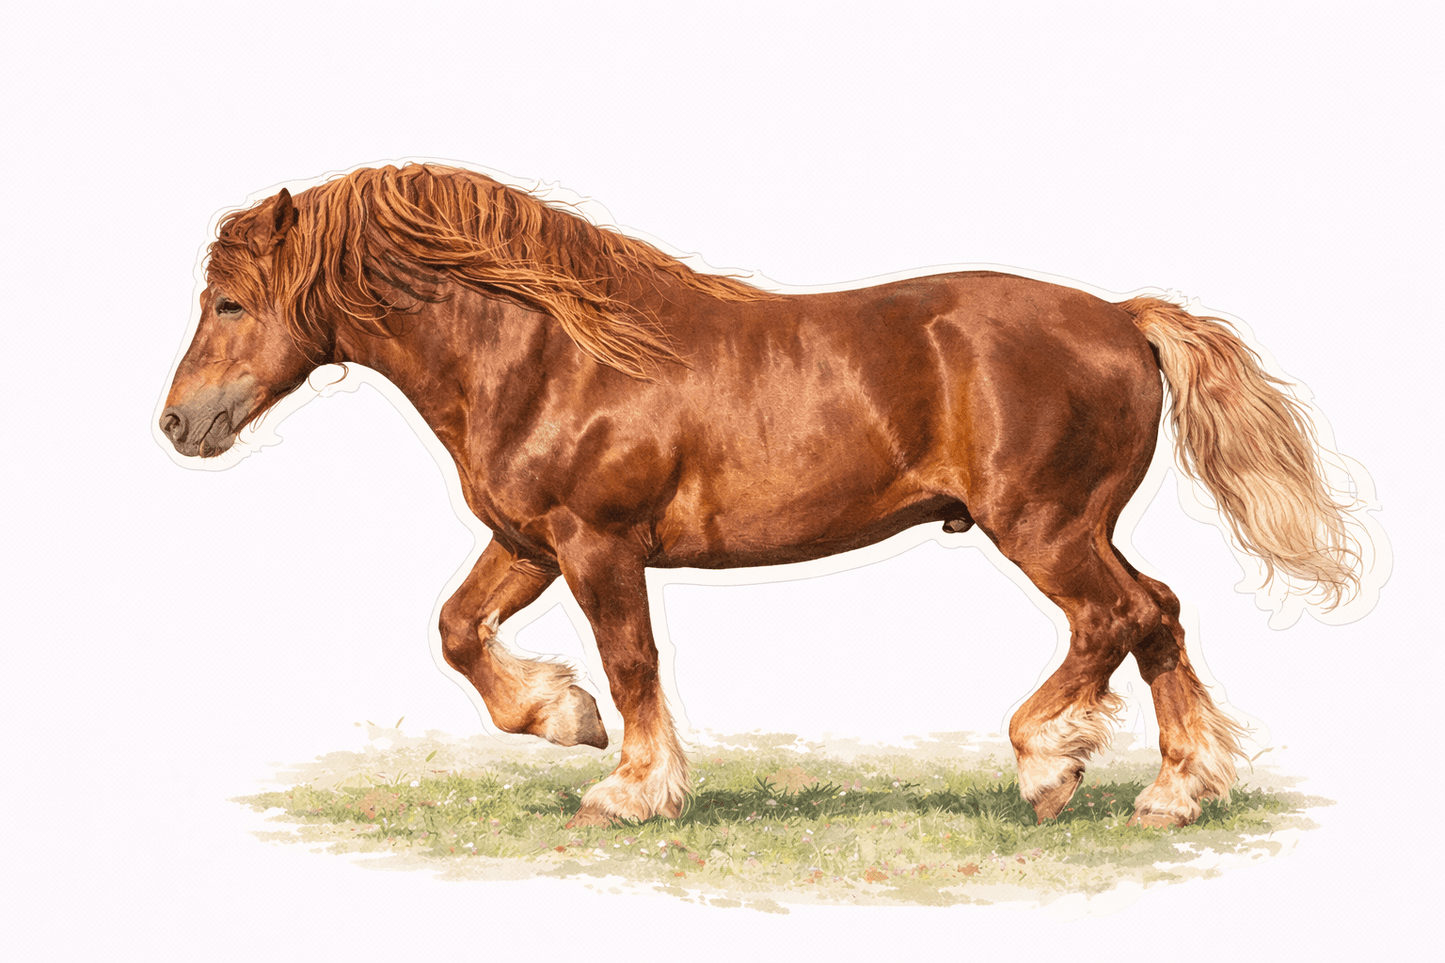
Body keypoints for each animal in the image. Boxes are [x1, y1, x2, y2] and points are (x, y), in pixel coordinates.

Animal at [159, 163, 1368, 829]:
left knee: (1117, 616)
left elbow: (633, 661)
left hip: (1042, 526)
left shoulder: (597, 545)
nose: (178, 424)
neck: (549, 353)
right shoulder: (530, 541)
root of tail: (1121, 318)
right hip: (1070, 527)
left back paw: (1048, 762)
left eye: (229, 304)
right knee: (1155, 614)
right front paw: (561, 720)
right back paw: (1173, 790)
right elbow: (459, 631)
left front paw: (630, 788)